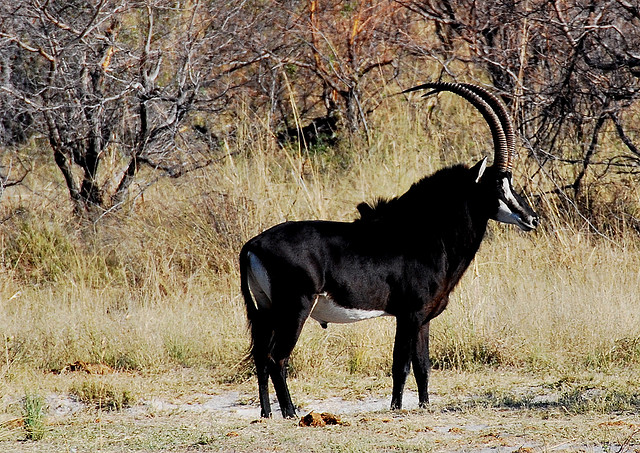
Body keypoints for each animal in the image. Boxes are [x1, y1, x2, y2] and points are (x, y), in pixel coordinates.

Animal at [239, 82, 539, 418]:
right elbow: (401, 366)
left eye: (509, 183)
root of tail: (253, 244)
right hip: (295, 309)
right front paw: (396, 408)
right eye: (495, 186)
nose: (531, 219)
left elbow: (423, 366)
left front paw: (424, 405)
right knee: (277, 358)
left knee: (260, 357)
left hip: (265, 311)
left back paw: (266, 414)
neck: (425, 231)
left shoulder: (423, 319)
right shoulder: (408, 315)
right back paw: (291, 412)